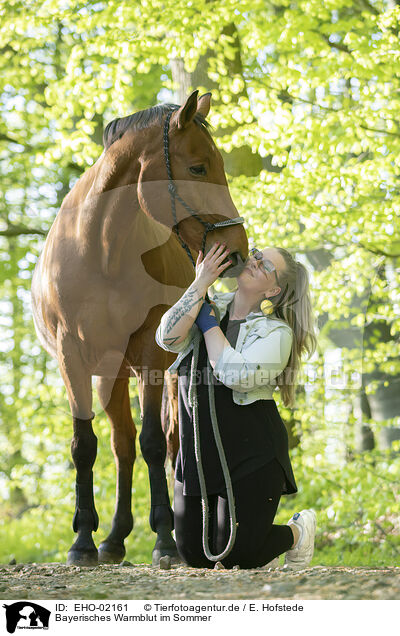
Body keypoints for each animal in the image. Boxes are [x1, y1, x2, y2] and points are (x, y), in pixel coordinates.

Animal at [31, 90, 248, 568]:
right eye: (198, 167)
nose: (237, 250)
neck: (101, 251)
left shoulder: (150, 354)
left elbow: (153, 443)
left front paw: (165, 540)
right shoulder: (73, 360)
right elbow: (85, 446)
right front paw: (83, 541)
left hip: (168, 373)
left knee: (167, 441)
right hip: (109, 375)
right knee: (122, 445)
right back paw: (113, 539)